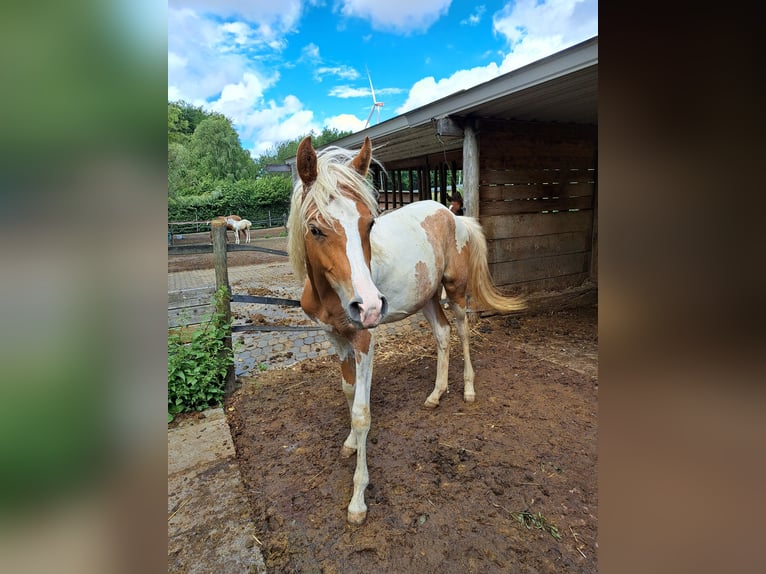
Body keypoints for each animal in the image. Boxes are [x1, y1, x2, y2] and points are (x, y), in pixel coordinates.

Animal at [288, 135, 528, 528]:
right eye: (316, 228)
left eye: (369, 223)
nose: (369, 306)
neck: (330, 295)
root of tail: (454, 215)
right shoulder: (335, 339)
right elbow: (348, 392)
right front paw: (350, 444)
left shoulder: (364, 339)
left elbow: (362, 412)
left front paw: (358, 499)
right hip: (427, 298)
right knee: (443, 335)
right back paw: (436, 395)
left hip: (455, 292)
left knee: (462, 332)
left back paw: (468, 390)